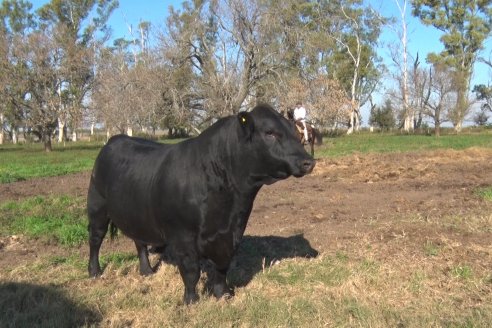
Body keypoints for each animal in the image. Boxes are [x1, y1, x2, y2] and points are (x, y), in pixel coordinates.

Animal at [87, 104, 316, 304]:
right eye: (270, 132)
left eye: (294, 132)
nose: (308, 162)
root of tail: (116, 139)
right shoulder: (183, 236)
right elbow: (190, 271)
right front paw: (191, 300)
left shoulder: (233, 232)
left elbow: (222, 268)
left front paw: (223, 295)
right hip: (97, 207)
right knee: (95, 240)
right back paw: (95, 272)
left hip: (136, 213)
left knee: (139, 241)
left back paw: (147, 271)